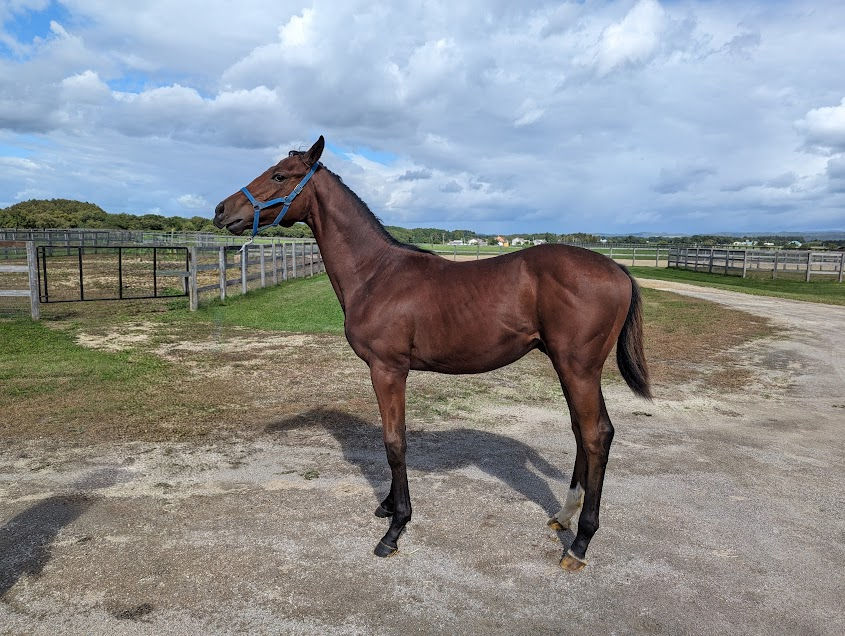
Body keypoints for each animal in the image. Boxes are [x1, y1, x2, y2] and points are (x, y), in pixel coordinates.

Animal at [213, 136, 651, 571]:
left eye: (279, 175)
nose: (221, 211)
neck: (376, 273)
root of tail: (617, 270)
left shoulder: (388, 370)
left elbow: (394, 442)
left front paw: (395, 528)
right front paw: (389, 506)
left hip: (578, 368)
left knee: (595, 436)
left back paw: (580, 543)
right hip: (571, 369)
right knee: (584, 431)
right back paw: (563, 516)